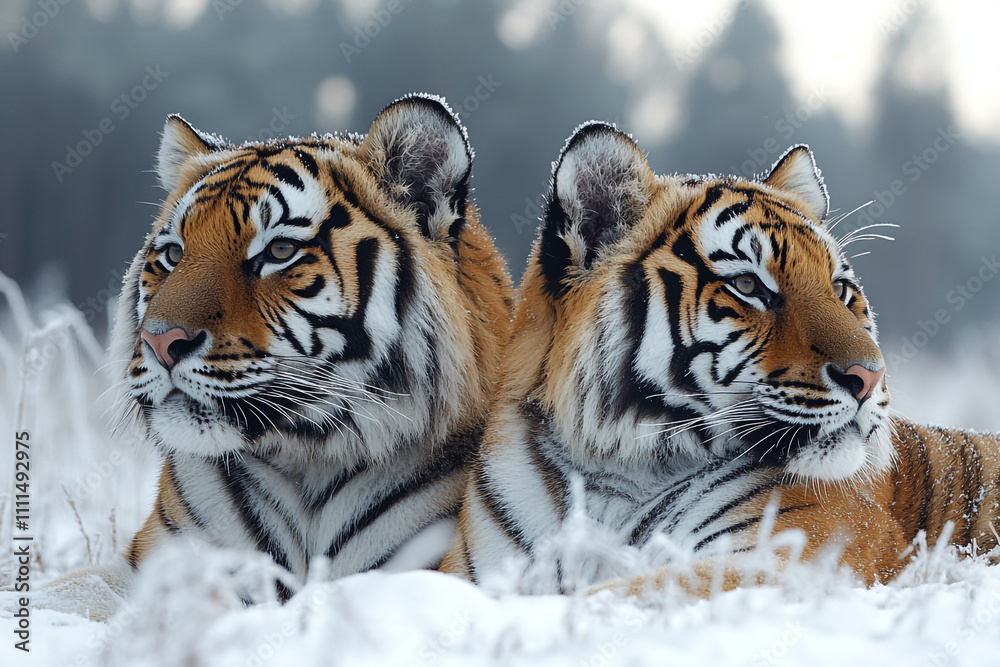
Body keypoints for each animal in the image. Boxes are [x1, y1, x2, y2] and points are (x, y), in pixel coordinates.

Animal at [440, 121, 1000, 595]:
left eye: (840, 289)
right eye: (749, 286)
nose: (869, 375)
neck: (606, 476)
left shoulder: (792, 559)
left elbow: (622, 593)